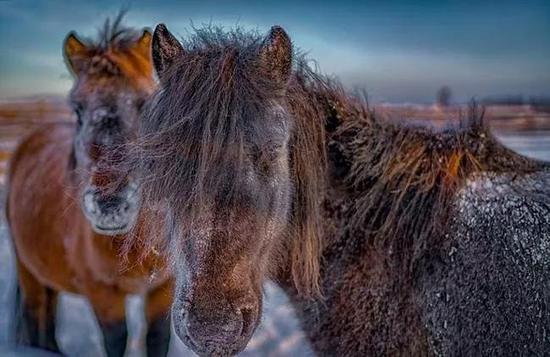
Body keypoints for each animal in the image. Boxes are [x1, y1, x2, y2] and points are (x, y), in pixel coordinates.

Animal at [6, 15, 174, 354]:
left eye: (145, 103)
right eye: (77, 108)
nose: (110, 206)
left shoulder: (164, 289)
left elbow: (157, 338)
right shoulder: (102, 295)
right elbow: (116, 341)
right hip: (27, 271)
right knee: (34, 316)